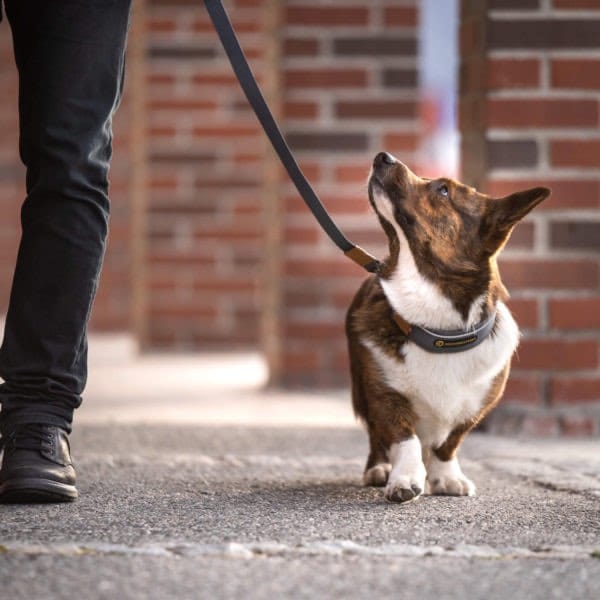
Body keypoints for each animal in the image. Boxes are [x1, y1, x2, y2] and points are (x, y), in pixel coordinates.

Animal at [344, 152, 552, 504]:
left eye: (443, 190)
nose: (383, 157)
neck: (439, 331)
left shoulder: (475, 407)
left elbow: (448, 444)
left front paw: (446, 478)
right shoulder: (384, 395)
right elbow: (404, 438)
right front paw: (404, 480)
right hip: (361, 387)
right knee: (376, 436)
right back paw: (379, 468)